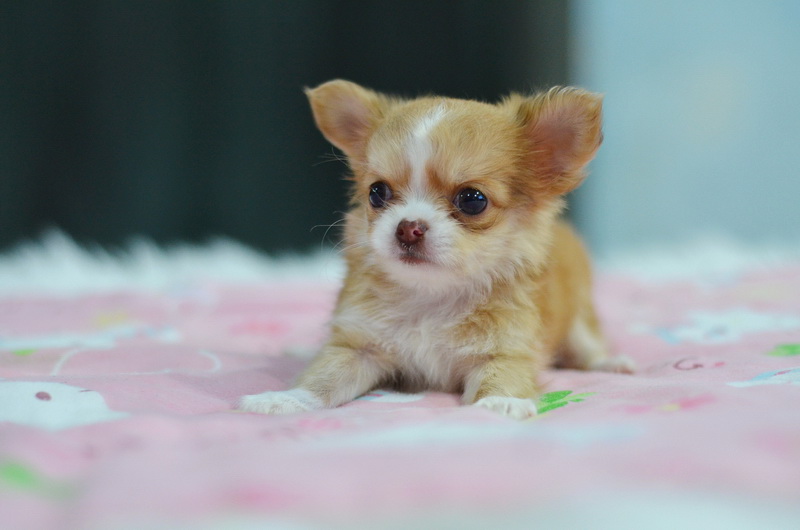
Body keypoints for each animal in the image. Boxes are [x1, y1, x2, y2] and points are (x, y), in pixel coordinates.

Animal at [239, 80, 632, 419]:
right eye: (377, 193)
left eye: (473, 200)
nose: (407, 228)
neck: (431, 297)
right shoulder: (359, 348)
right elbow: (323, 378)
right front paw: (285, 399)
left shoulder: (507, 351)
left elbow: (502, 378)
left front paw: (500, 403)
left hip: (579, 320)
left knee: (587, 348)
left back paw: (612, 363)